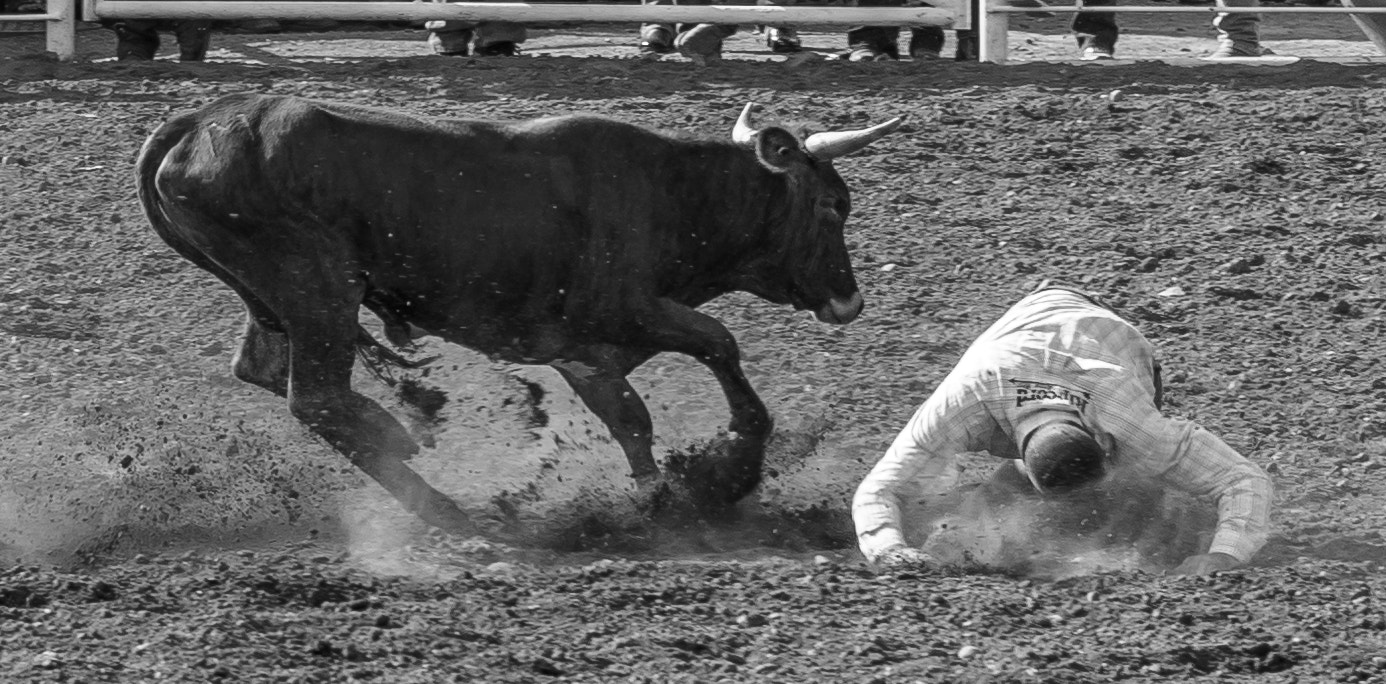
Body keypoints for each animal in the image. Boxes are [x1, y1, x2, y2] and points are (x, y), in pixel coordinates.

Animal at [136, 93, 900, 535]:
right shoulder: (627, 312)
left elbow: (630, 419)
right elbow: (719, 343)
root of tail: (199, 124)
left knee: (266, 371)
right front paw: (727, 470)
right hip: (318, 287)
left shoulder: (585, 353)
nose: (850, 300)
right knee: (317, 398)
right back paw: (434, 489)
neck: (671, 193)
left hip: (273, 298)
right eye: (833, 205)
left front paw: (658, 498)